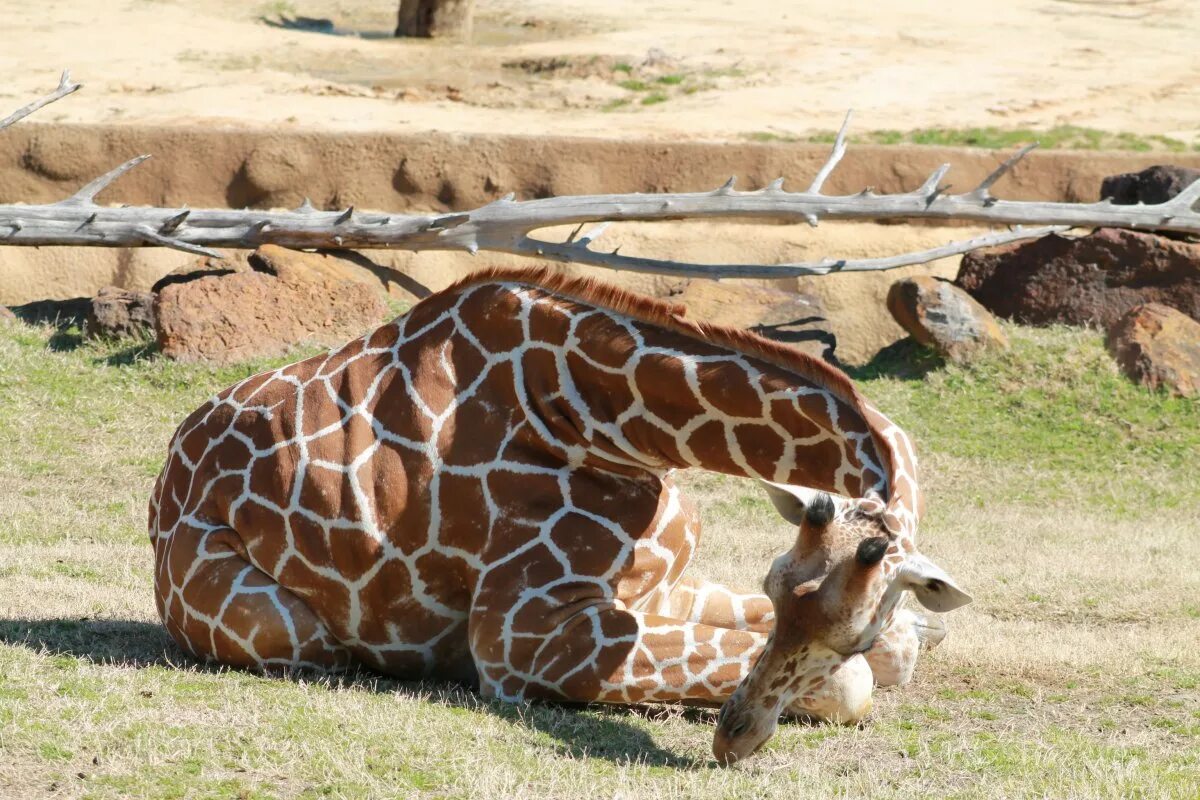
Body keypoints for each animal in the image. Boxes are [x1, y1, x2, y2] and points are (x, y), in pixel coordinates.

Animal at [150, 266, 969, 762]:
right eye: (777, 587)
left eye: (854, 628)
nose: (733, 741)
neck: (598, 420)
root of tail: (163, 488)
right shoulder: (522, 639)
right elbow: (856, 684)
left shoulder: (652, 584)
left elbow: (892, 648)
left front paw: (914, 633)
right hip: (284, 629)